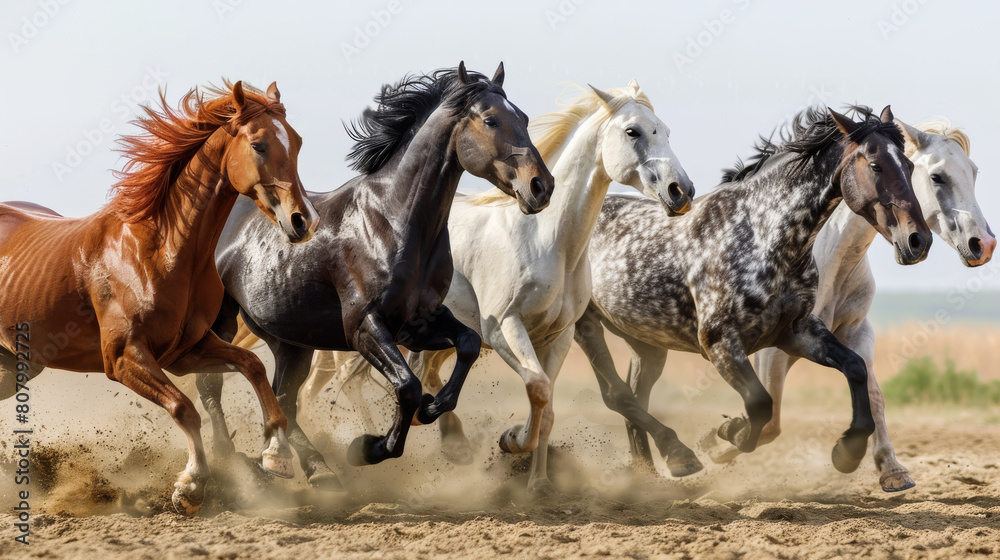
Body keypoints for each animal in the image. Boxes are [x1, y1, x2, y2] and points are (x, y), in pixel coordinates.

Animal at [0, 81, 318, 515]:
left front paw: (276, 454)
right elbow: (184, 408)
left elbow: (251, 365)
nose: (304, 221)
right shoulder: (124, 359)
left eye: (298, 141)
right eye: (259, 144)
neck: (158, 249)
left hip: (15, 365)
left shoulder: (187, 351)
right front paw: (191, 486)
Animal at [196, 62, 555, 490]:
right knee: (211, 384)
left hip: (290, 339)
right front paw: (370, 448)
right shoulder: (364, 327)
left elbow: (466, 344)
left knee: (284, 399)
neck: (394, 221)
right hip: (223, 322)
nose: (541, 186)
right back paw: (230, 462)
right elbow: (407, 385)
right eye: (491, 120)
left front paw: (431, 411)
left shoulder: (418, 323)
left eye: (525, 118)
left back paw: (312, 469)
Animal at [404, 79, 696, 493]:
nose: (681, 191)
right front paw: (511, 441)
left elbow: (548, 407)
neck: (546, 241)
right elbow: (538, 389)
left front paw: (538, 484)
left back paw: (451, 440)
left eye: (666, 132)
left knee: (424, 370)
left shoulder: (557, 336)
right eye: (632, 131)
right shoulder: (504, 329)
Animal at [572, 106, 933, 479]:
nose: (918, 241)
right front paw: (728, 433)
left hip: (647, 343)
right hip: (585, 326)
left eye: (908, 166)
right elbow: (761, 406)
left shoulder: (795, 332)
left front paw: (847, 452)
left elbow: (855, 367)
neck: (762, 236)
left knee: (634, 399)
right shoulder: (721, 344)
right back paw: (680, 454)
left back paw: (653, 474)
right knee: (617, 395)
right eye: (875, 165)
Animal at [701, 116, 995, 492]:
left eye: (973, 172)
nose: (983, 244)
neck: (827, 258)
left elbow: (872, 394)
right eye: (936, 176)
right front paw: (717, 441)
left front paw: (890, 470)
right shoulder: (773, 349)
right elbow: (770, 421)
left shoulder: (855, 333)